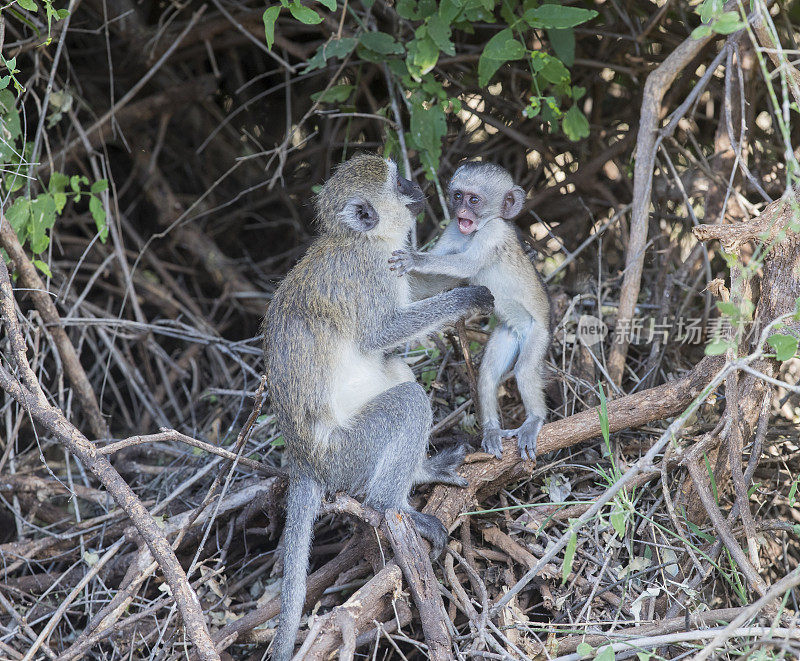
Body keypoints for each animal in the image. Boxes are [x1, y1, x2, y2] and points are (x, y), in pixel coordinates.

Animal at [262, 153, 494, 660]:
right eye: (397, 182)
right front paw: (467, 295)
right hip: (349, 453)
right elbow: (381, 334)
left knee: (395, 368)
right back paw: (393, 507)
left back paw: (423, 473)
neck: (358, 239)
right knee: (406, 402)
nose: (418, 187)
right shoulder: (369, 274)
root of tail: (304, 461)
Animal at [390, 161, 552, 458]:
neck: (477, 230)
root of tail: (521, 331)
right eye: (457, 196)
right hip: (507, 333)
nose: (462, 212)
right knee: (487, 375)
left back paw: (534, 419)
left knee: (524, 369)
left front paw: (415, 258)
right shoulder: (454, 230)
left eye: (474, 200)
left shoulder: (494, 233)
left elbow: (466, 264)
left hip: (538, 334)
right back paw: (491, 430)